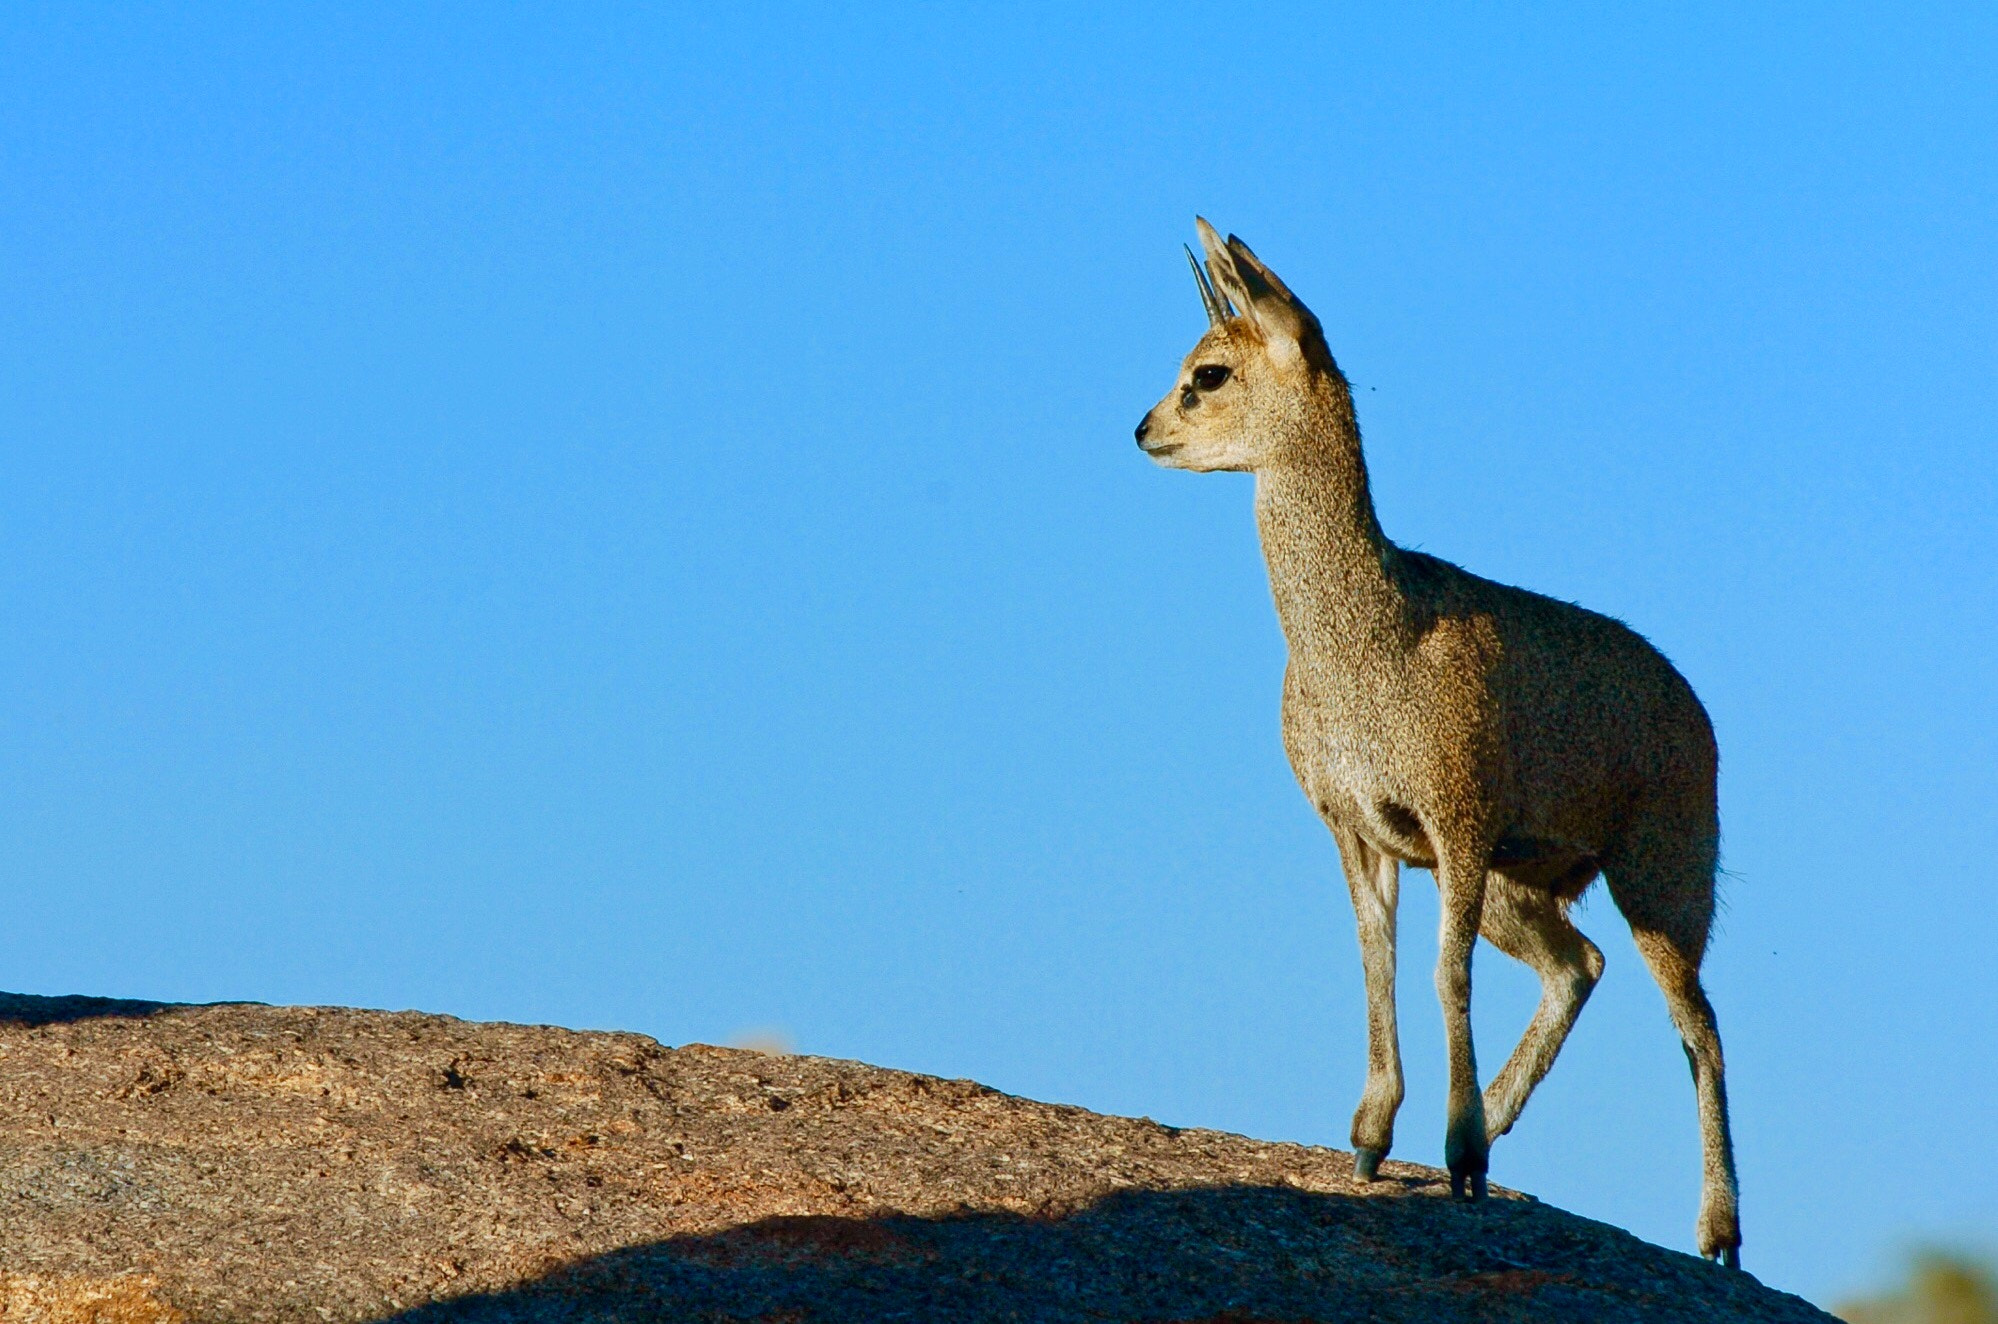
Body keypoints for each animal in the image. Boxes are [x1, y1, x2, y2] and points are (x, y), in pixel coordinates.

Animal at [1134, 222, 1742, 1270]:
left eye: (1207, 373)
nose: (1141, 430)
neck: (1367, 642)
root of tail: (1699, 711)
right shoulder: (1359, 828)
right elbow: (1375, 960)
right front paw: (1378, 1138)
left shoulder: (1456, 817)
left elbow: (1442, 974)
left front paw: (1456, 1154)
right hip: (1526, 880)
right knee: (1580, 965)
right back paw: (1498, 1118)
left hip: (1663, 868)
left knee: (1697, 1019)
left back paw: (1717, 1231)